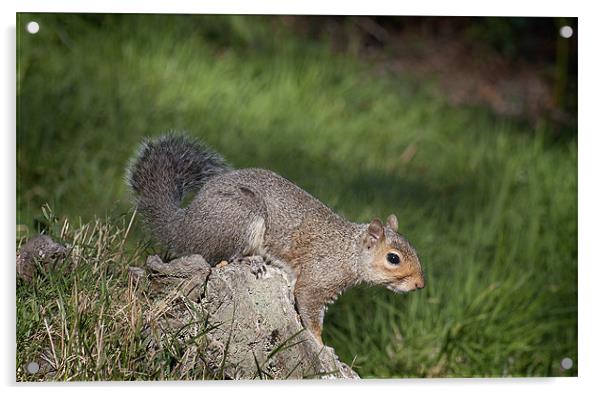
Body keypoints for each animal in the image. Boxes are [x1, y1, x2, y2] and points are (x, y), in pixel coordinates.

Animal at [126, 135, 422, 344]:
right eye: (393, 258)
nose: (420, 285)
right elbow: (310, 310)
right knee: (220, 257)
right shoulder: (317, 280)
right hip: (241, 217)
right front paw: (320, 344)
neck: (348, 251)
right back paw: (252, 261)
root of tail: (184, 224)